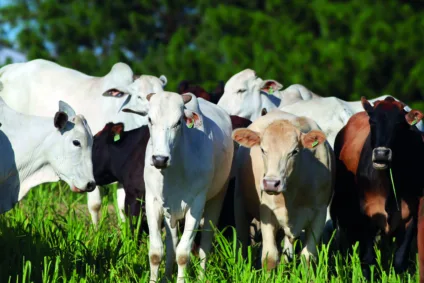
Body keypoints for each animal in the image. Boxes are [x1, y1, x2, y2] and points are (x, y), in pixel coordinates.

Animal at [0, 58, 168, 225]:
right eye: (139, 96)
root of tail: (9, 69)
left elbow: (122, 206)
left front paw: (123, 229)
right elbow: (95, 204)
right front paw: (96, 229)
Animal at [124, 92, 234, 282]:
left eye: (178, 122)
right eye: (150, 119)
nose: (160, 159)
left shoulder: (196, 205)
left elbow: (183, 254)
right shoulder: (153, 201)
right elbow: (156, 252)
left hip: (217, 197)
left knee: (205, 244)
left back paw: (201, 277)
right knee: (171, 243)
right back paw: (167, 276)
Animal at [332, 97, 424, 280]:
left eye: (398, 123)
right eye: (372, 122)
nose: (381, 154)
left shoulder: (412, 215)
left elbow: (399, 260)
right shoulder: (367, 215)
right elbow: (368, 260)